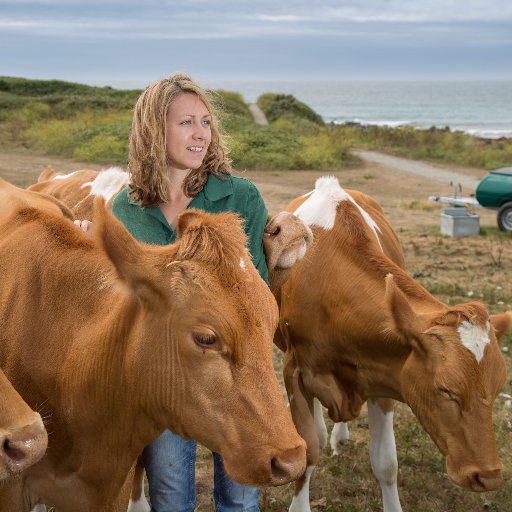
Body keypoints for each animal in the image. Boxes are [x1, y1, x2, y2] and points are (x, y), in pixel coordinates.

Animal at [266, 177, 510, 512]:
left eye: (498, 389)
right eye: (445, 389)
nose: (488, 476)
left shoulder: (383, 372)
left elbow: (387, 464)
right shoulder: (295, 370)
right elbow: (308, 451)